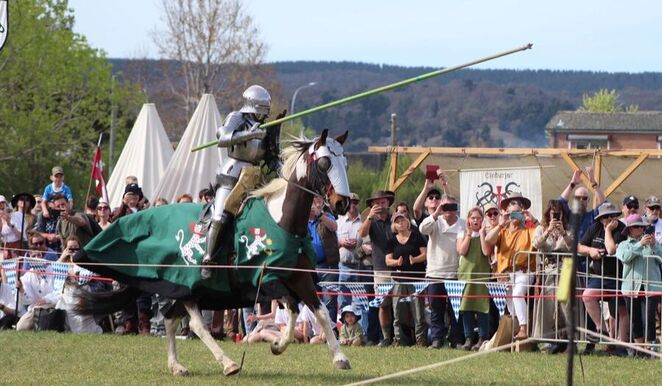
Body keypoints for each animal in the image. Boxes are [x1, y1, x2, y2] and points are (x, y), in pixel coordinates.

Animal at [73, 130, 356, 376]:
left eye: (345, 161)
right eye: (324, 163)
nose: (342, 203)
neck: (282, 220)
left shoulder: (300, 278)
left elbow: (319, 312)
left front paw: (338, 358)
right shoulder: (269, 280)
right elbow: (294, 311)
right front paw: (278, 346)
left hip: (187, 288)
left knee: (171, 320)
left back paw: (177, 366)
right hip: (187, 284)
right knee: (196, 324)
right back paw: (228, 364)